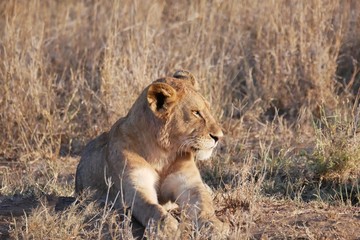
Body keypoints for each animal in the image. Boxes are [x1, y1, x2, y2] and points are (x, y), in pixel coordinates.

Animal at [75, 70, 228, 236]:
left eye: (208, 110)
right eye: (196, 113)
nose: (219, 137)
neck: (162, 152)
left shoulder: (189, 184)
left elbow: (204, 204)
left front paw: (214, 224)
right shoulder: (135, 188)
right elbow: (152, 208)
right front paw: (167, 227)